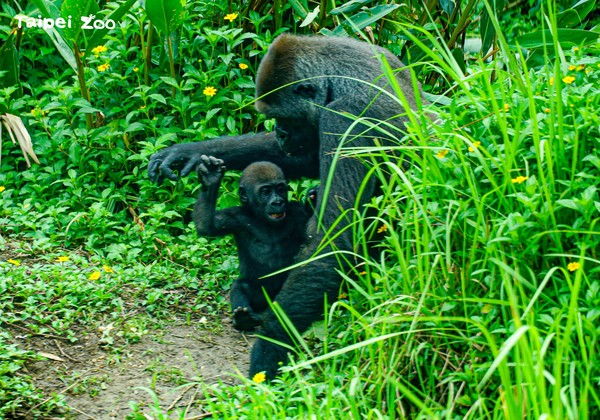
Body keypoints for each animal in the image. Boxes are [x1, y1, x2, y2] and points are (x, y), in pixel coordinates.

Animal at [195, 155, 312, 332]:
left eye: (280, 189)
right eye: (266, 191)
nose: (278, 202)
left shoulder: (297, 211)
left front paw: (314, 199)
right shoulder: (234, 217)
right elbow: (207, 226)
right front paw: (210, 179)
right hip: (261, 296)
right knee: (240, 286)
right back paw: (244, 318)